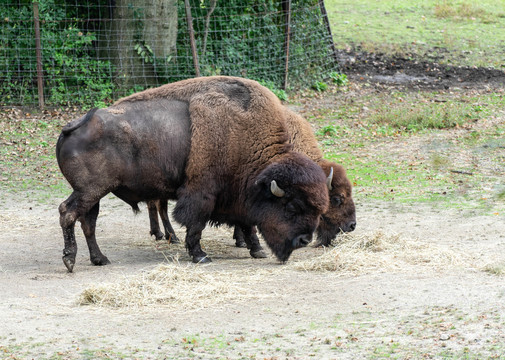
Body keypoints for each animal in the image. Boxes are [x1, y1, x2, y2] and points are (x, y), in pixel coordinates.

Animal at [57, 76, 328, 272]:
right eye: (292, 207)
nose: (304, 240)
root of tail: (74, 125)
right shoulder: (202, 193)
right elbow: (196, 224)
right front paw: (201, 256)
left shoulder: (239, 196)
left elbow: (247, 223)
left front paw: (257, 250)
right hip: (90, 190)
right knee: (67, 213)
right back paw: (71, 261)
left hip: (93, 194)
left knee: (88, 222)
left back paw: (100, 259)